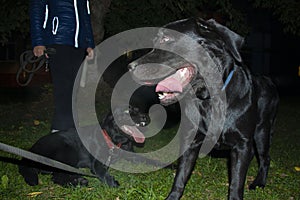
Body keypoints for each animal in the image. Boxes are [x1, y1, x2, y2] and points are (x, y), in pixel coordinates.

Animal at [18, 107, 149, 187]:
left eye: (137, 109)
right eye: (126, 111)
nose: (145, 117)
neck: (112, 139)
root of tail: (30, 151)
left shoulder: (131, 154)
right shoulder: (96, 164)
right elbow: (103, 173)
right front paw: (112, 183)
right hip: (67, 151)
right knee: (57, 176)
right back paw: (78, 182)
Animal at [128, 18, 278, 199]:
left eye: (166, 39)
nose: (130, 67)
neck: (210, 99)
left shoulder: (242, 145)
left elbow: (236, 183)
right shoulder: (190, 141)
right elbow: (180, 177)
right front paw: (173, 196)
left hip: (262, 132)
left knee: (265, 159)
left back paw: (259, 182)